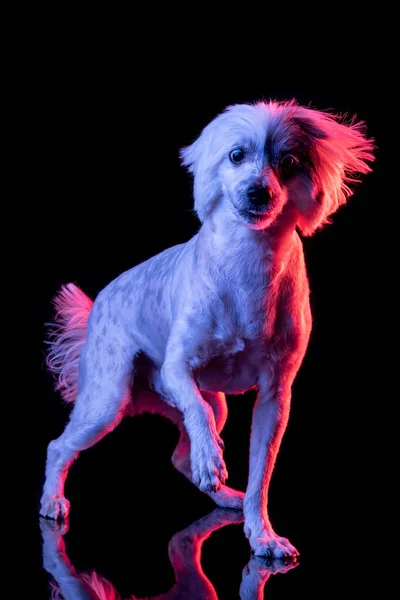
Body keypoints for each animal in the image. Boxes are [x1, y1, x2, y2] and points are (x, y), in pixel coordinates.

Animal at [39, 99, 372, 556]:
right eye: (236, 155)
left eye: (288, 162)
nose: (258, 191)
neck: (250, 261)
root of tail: (96, 306)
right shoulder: (177, 368)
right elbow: (195, 412)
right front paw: (212, 459)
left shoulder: (275, 396)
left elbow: (261, 474)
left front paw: (261, 533)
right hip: (108, 400)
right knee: (60, 446)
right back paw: (53, 501)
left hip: (217, 404)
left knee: (183, 452)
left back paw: (225, 496)